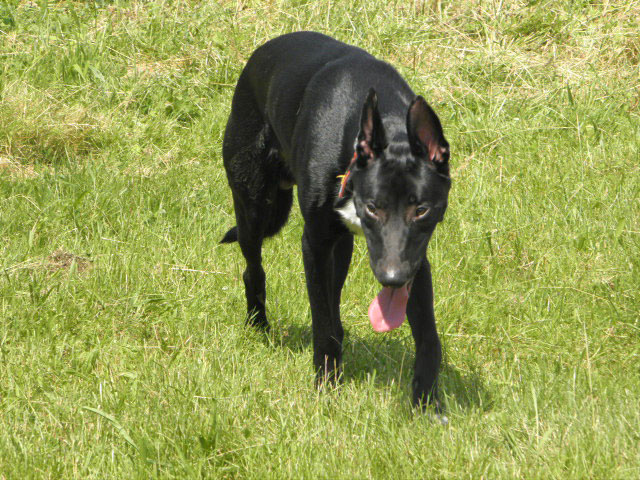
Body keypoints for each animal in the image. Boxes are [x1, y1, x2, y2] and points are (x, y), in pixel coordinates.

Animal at [222, 31, 452, 412]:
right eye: (373, 207)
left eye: (421, 210)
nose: (391, 279)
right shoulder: (314, 243)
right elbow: (322, 324)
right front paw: (326, 386)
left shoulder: (415, 258)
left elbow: (428, 337)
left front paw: (426, 405)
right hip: (254, 208)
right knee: (253, 269)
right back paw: (258, 326)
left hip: (341, 245)